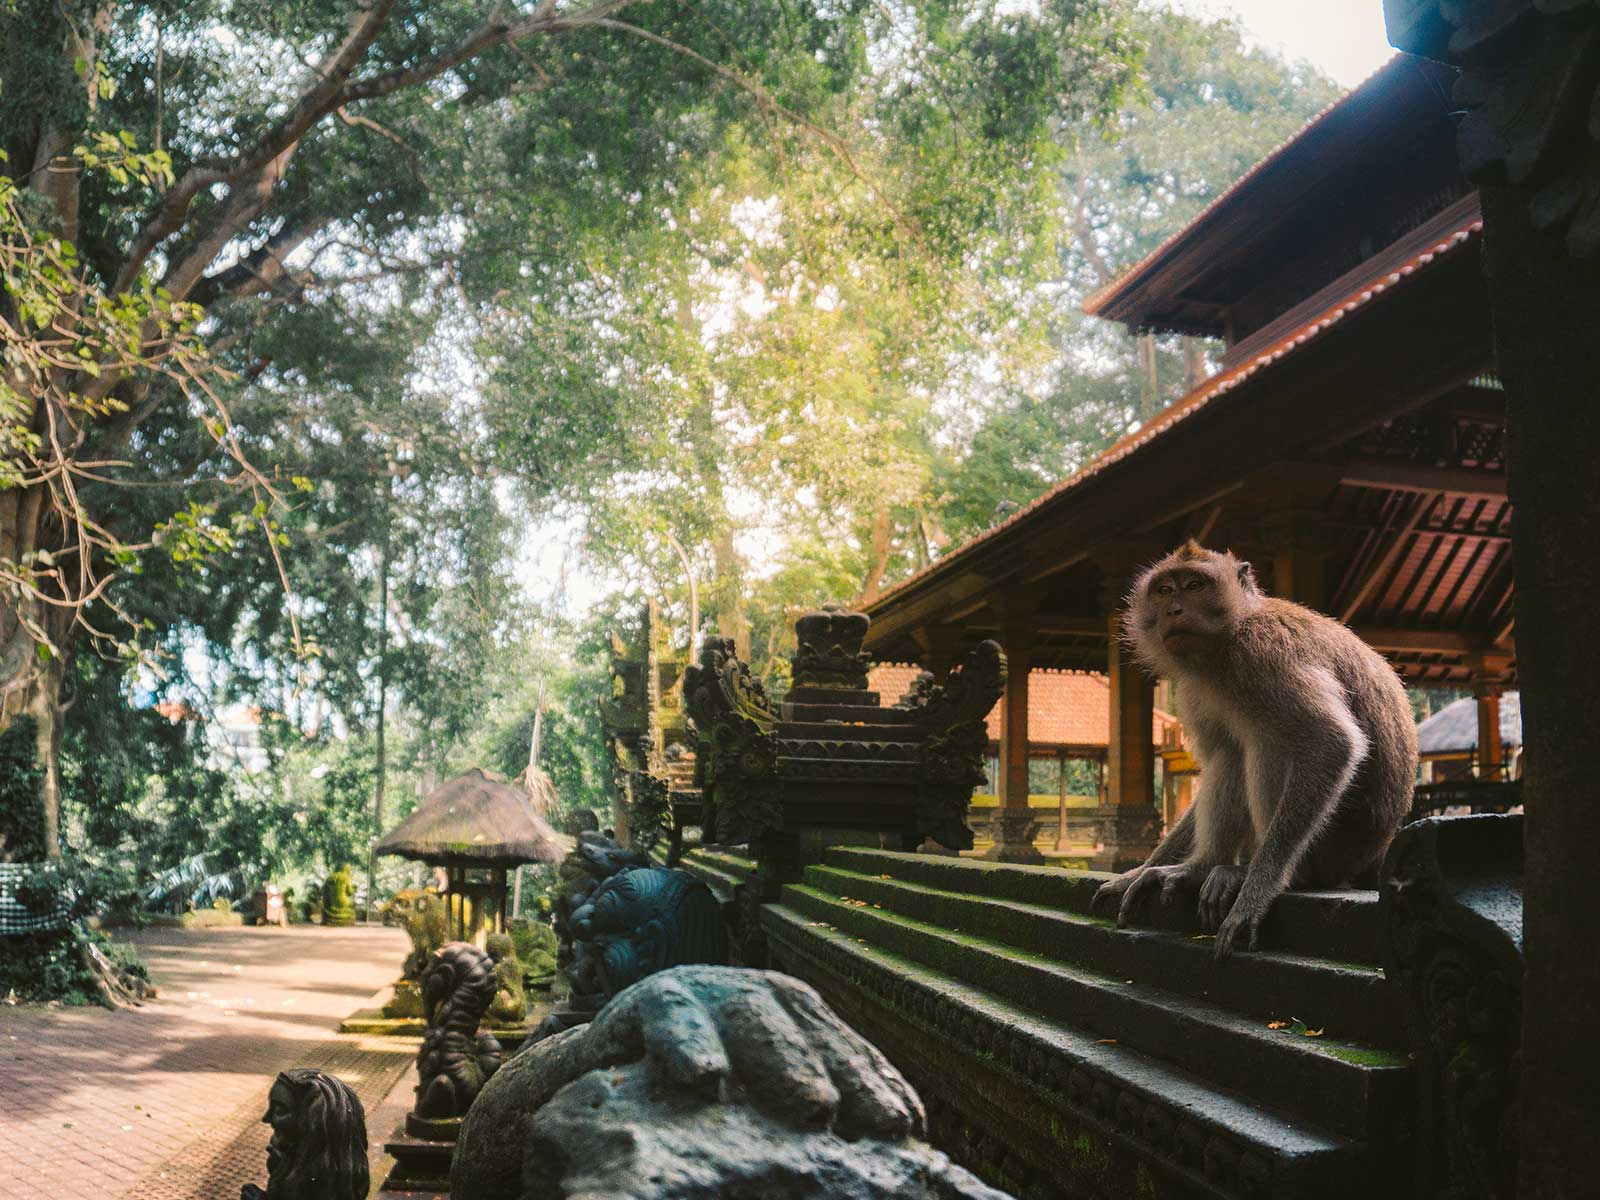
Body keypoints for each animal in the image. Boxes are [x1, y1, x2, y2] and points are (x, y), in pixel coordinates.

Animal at [1092, 541, 1417, 959]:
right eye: (1164, 590)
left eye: (1195, 585)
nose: (1173, 610)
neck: (1226, 641)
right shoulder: (1195, 688)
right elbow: (1219, 755)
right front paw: (1135, 871)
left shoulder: (1264, 656)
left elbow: (1331, 742)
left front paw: (1257, 892)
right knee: (1230, 753)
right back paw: (1202, 867)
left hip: (1335, 845)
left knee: (1269, 742)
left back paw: (1264, 874)